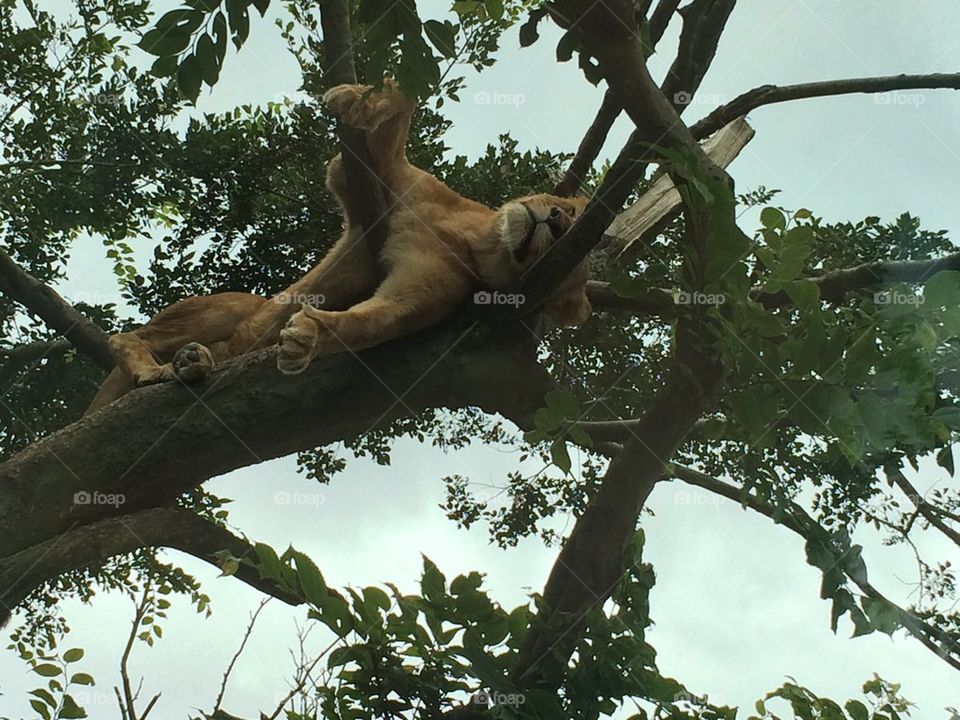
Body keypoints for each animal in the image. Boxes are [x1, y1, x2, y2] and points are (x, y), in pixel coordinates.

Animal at [85, 81, 591, 414]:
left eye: (566, 259)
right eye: (572, 212)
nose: (557, 220)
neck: (476, 239)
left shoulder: (427, 291)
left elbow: (373, 320)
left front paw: (307, 337)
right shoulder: (368, 185)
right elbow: (401, 112)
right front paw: (357, 99)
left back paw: (186, 365)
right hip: (227, 306)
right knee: (130, 335)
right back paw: (160, 366)